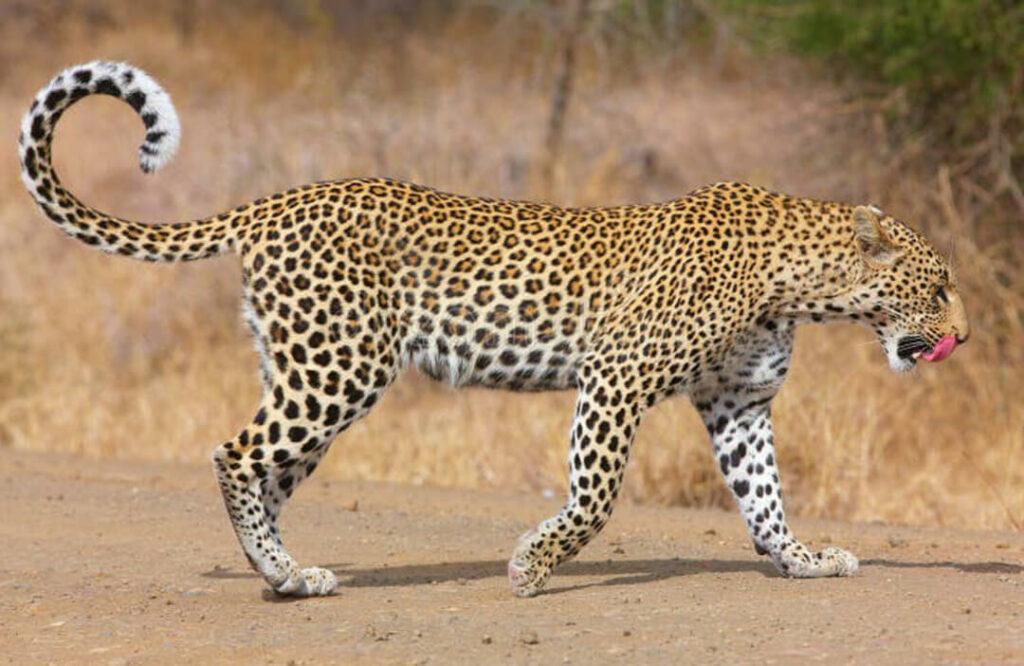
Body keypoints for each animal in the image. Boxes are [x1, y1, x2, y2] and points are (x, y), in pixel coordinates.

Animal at [19, 61, 969, 598]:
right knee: (235, 455)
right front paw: (533, 567)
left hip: (307, 372)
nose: (966, 333)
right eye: (939, 284)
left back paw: (287, 575)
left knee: (270, 472)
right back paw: (284, 574)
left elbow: (765, 499)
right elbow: (596, 496)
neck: (797, 282)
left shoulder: (738, 403)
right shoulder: (617, 377)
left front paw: (803, 560)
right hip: (339, 367)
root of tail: (274, 200)